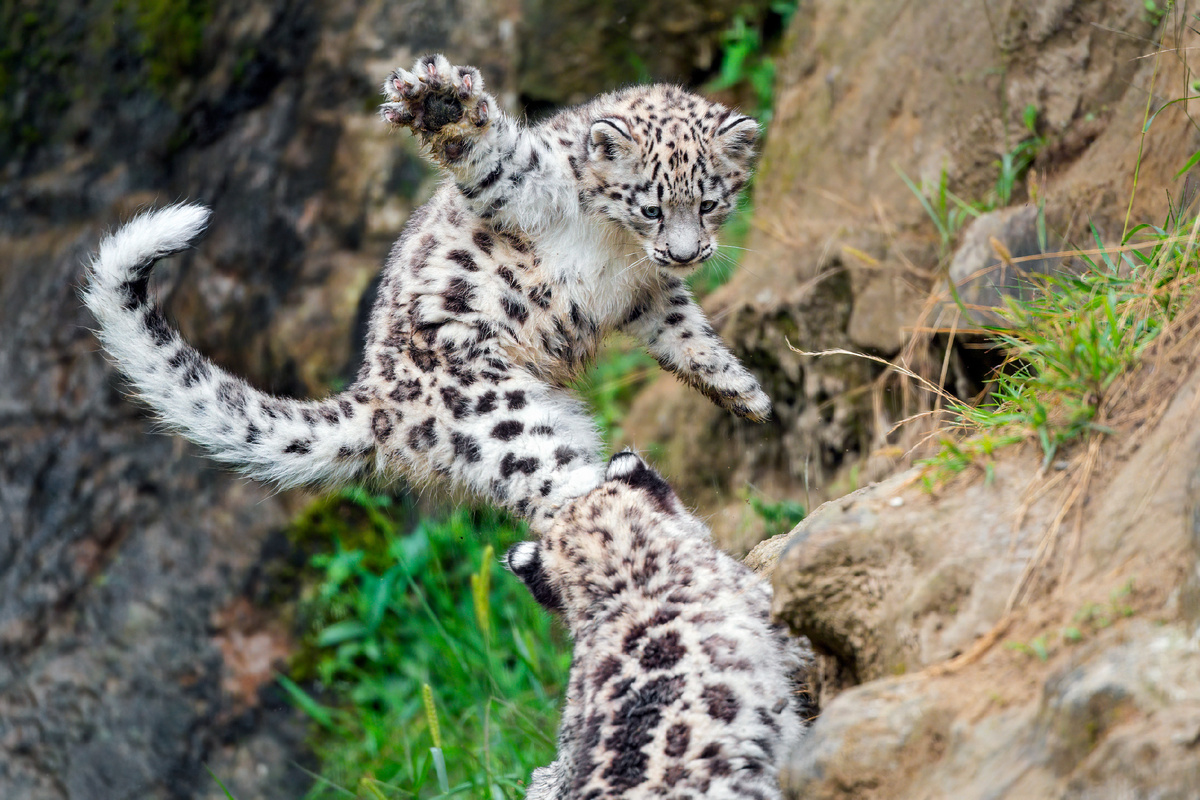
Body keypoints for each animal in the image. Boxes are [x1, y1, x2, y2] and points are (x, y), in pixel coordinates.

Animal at [82, 54, 769, 523]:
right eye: (650, 207)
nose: (686, 252)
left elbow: (685, 332)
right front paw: (442, 104)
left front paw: (743, 392)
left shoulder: (645, 294)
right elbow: (494, 157)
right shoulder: (527, 192)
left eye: (710, 202)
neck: (619, 249)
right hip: (506, 428)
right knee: (570, 507)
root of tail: (378, 401)